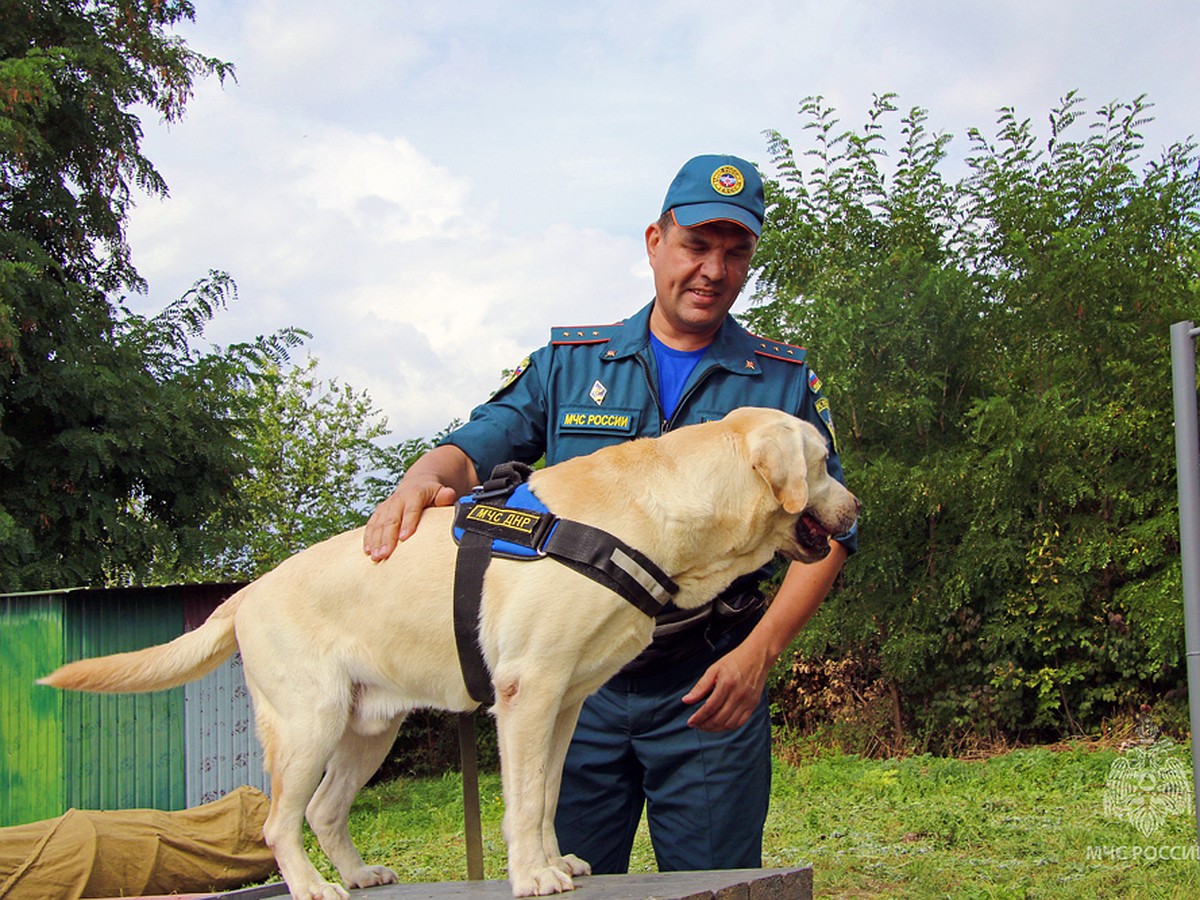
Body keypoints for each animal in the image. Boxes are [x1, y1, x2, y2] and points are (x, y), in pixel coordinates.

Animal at [42, 410, 859, 900]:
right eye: (824, 463)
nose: (856, 513)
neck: (655, 512)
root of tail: (245, 593)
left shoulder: (565, 703)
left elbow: (547, 795)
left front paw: (554, 861)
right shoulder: (528, 694)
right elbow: (523, 800)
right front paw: (531, 876)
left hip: (369, 730)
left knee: (327, 811)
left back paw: (359, 875)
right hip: (309, 723)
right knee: (280, 822)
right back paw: (312, 886)